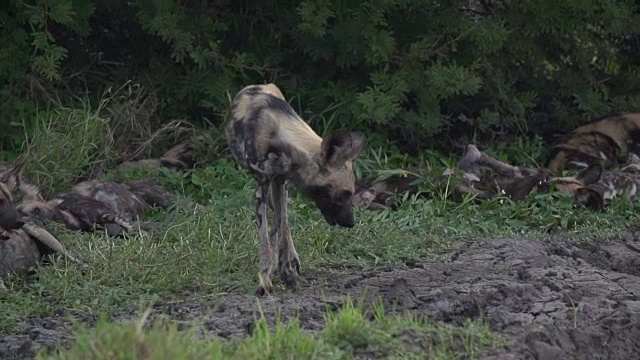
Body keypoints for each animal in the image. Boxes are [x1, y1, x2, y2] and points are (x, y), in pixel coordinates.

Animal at [225, 83, 364, 296]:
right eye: (345, 193)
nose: (351, 223)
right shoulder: (263, 187)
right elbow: (266, 240)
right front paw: (265, 280)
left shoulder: (280, 182)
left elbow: (280, 227)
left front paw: (285, 272)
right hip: (271, 191)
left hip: (281, 190)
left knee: (284, 223)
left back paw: (289, 261)